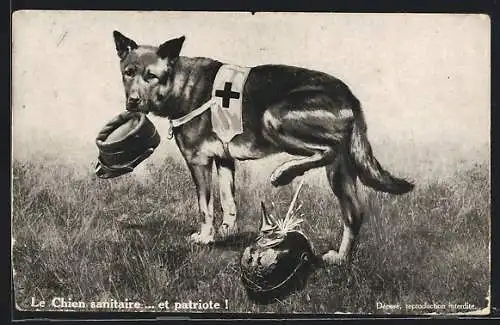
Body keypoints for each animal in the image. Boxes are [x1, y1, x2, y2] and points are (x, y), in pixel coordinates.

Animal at [112, 30, 414, 264]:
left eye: (151, 76)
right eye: (128, 73)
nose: (133, 101)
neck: (180, 83)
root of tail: (349, 95)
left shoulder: (199, 162)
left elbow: (205, 206)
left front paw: (206, 237)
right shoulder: (224, 161)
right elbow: (229, 202)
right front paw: (227, 231)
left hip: (275, 118)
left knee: (326, 150)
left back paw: (284, 173)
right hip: (340, 171)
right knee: (353, 213)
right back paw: (341, 258)